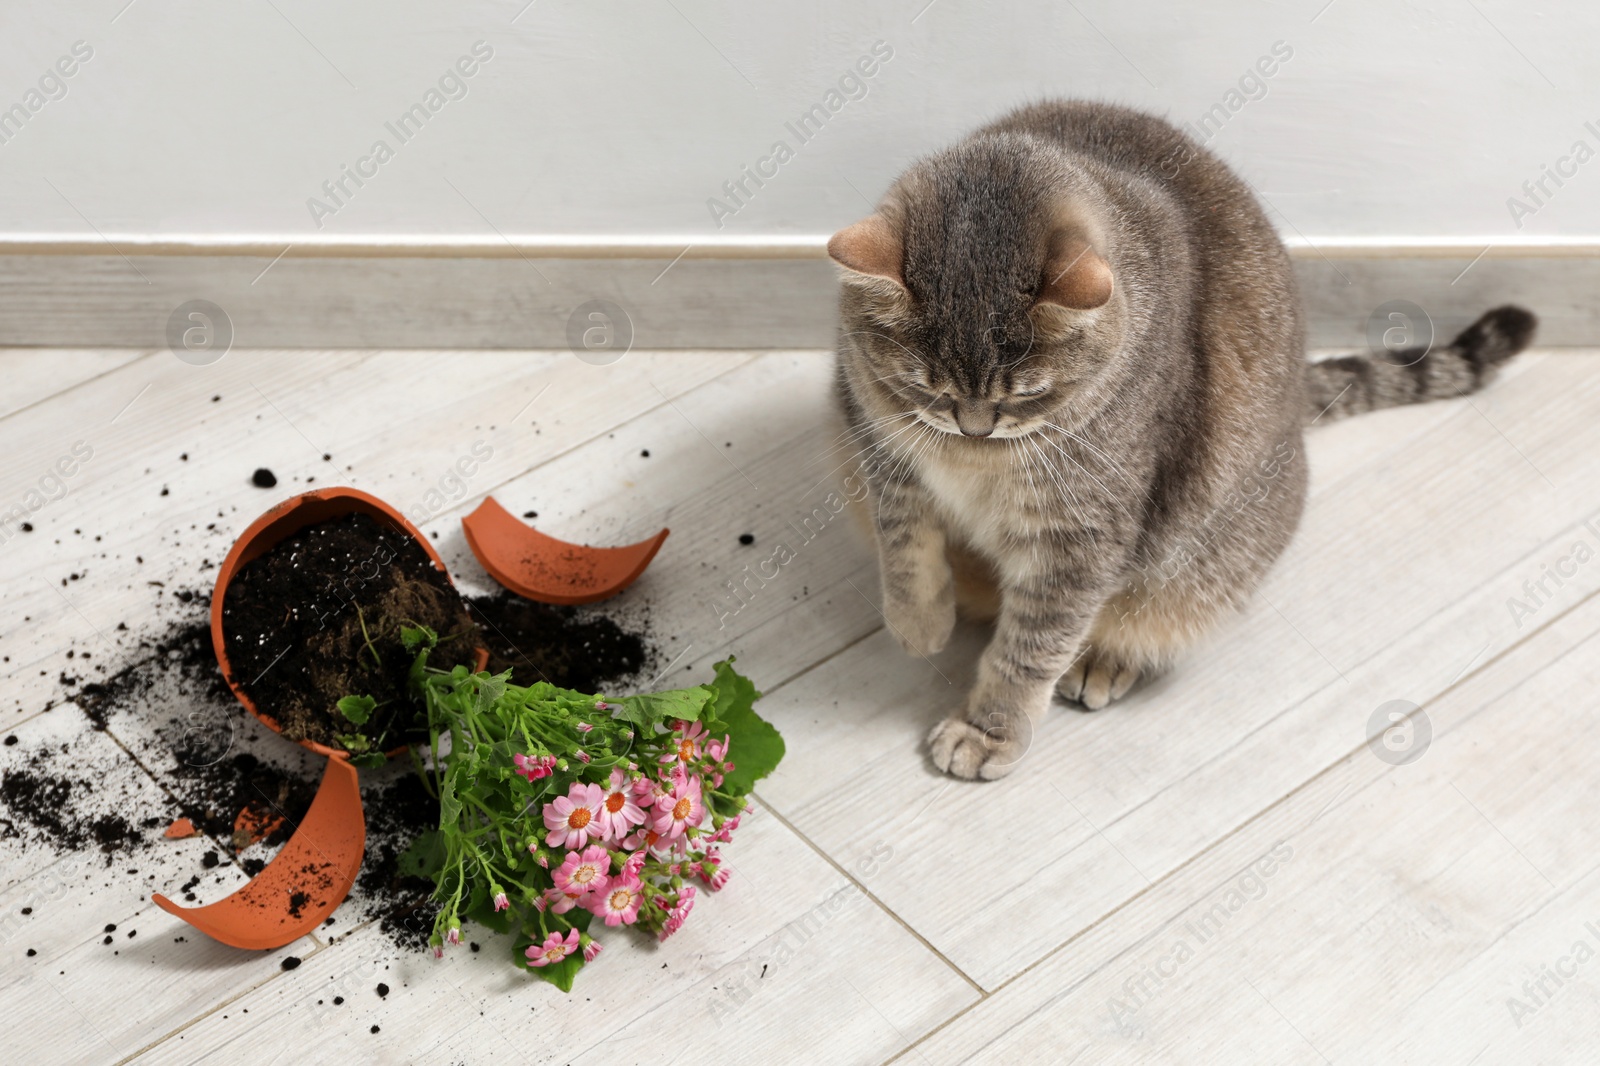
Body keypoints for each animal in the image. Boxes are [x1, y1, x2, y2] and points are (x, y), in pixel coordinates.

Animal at [832, 101, 1529, 771]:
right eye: (924, 384)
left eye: (1026, 392)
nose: (973, 425)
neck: (976, 458)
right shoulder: (881, 450)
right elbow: (906, 547)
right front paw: (919, 623)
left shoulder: (1080, 539)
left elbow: (1032, 645)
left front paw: (988, 730)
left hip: (1201, 565)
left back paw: (1102, 661)